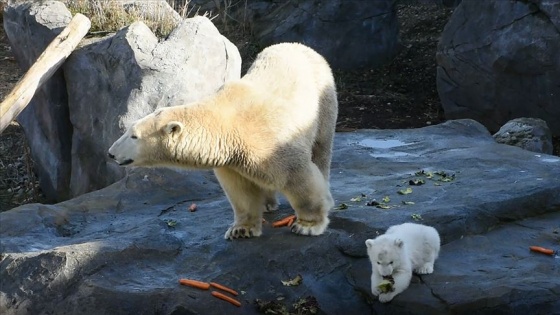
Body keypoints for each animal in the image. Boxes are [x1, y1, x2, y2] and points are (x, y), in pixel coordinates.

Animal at [107, 42, 340, 239]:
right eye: (128, 131)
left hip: (323, 100)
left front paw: (307, 225)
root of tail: (300, 45)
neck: (224, 124)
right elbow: (241, 191)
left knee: (321, 148)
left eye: (134, 135)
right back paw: (267, 203)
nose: (111, 153)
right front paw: (241, 230)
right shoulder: (233, 160)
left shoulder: (269, 144)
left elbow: (297, 176)